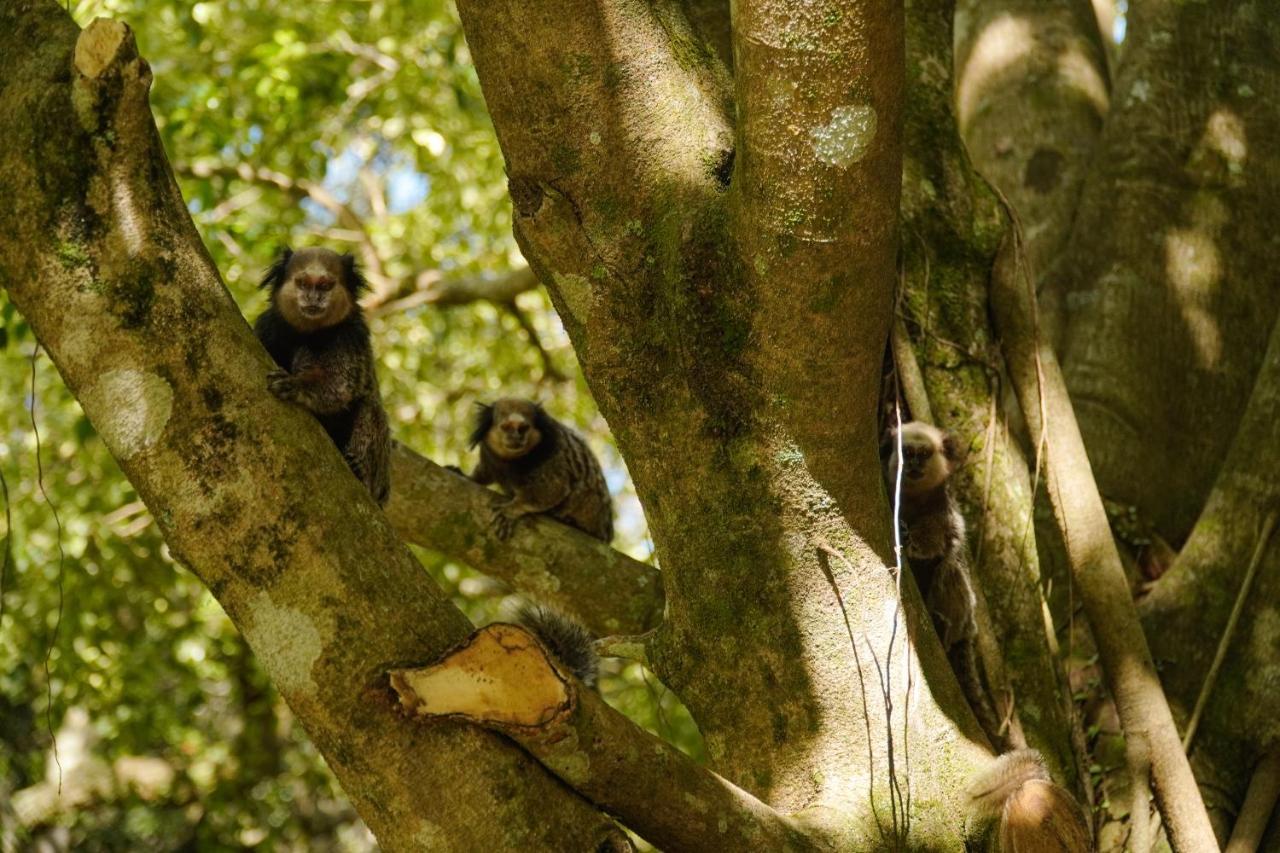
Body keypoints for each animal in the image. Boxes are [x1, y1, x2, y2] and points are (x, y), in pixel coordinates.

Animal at [250, 245, 386, 502]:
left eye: (324, 286)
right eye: (303, 284)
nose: (313, 298)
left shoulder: (348, 337)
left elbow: (338, 385)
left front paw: (296, 384)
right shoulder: (267, 326)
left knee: (371, 408)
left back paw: (357, 468)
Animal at [465, 397, 614, 537]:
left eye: (523, 428)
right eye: (506, 427)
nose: (516, 437)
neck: (510, 460)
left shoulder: (551, 456)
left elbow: (553, 489)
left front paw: (512, 508)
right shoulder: (488, 454)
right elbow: (485, 472)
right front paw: (470, 477)